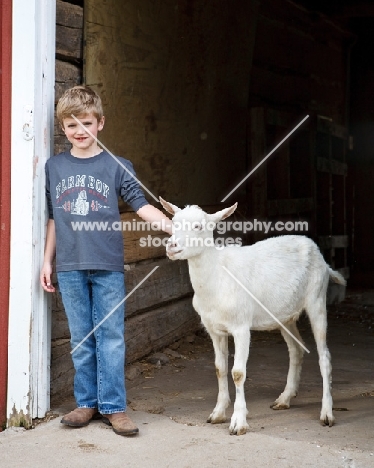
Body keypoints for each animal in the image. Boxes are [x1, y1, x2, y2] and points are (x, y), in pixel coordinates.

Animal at [159, 197, 346, 436]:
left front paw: (238, 422)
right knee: (296, 349)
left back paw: (327, 413)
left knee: (325, 356)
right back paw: (284, 398)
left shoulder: (241, 327)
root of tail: (320, 256)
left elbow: (238, 372)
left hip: (317, 298)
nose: (171, 246)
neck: (218, 276)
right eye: (173, 223)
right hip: (284, 316)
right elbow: (219, 368)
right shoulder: (214, 329)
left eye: (199, 226)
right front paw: (218, 413)